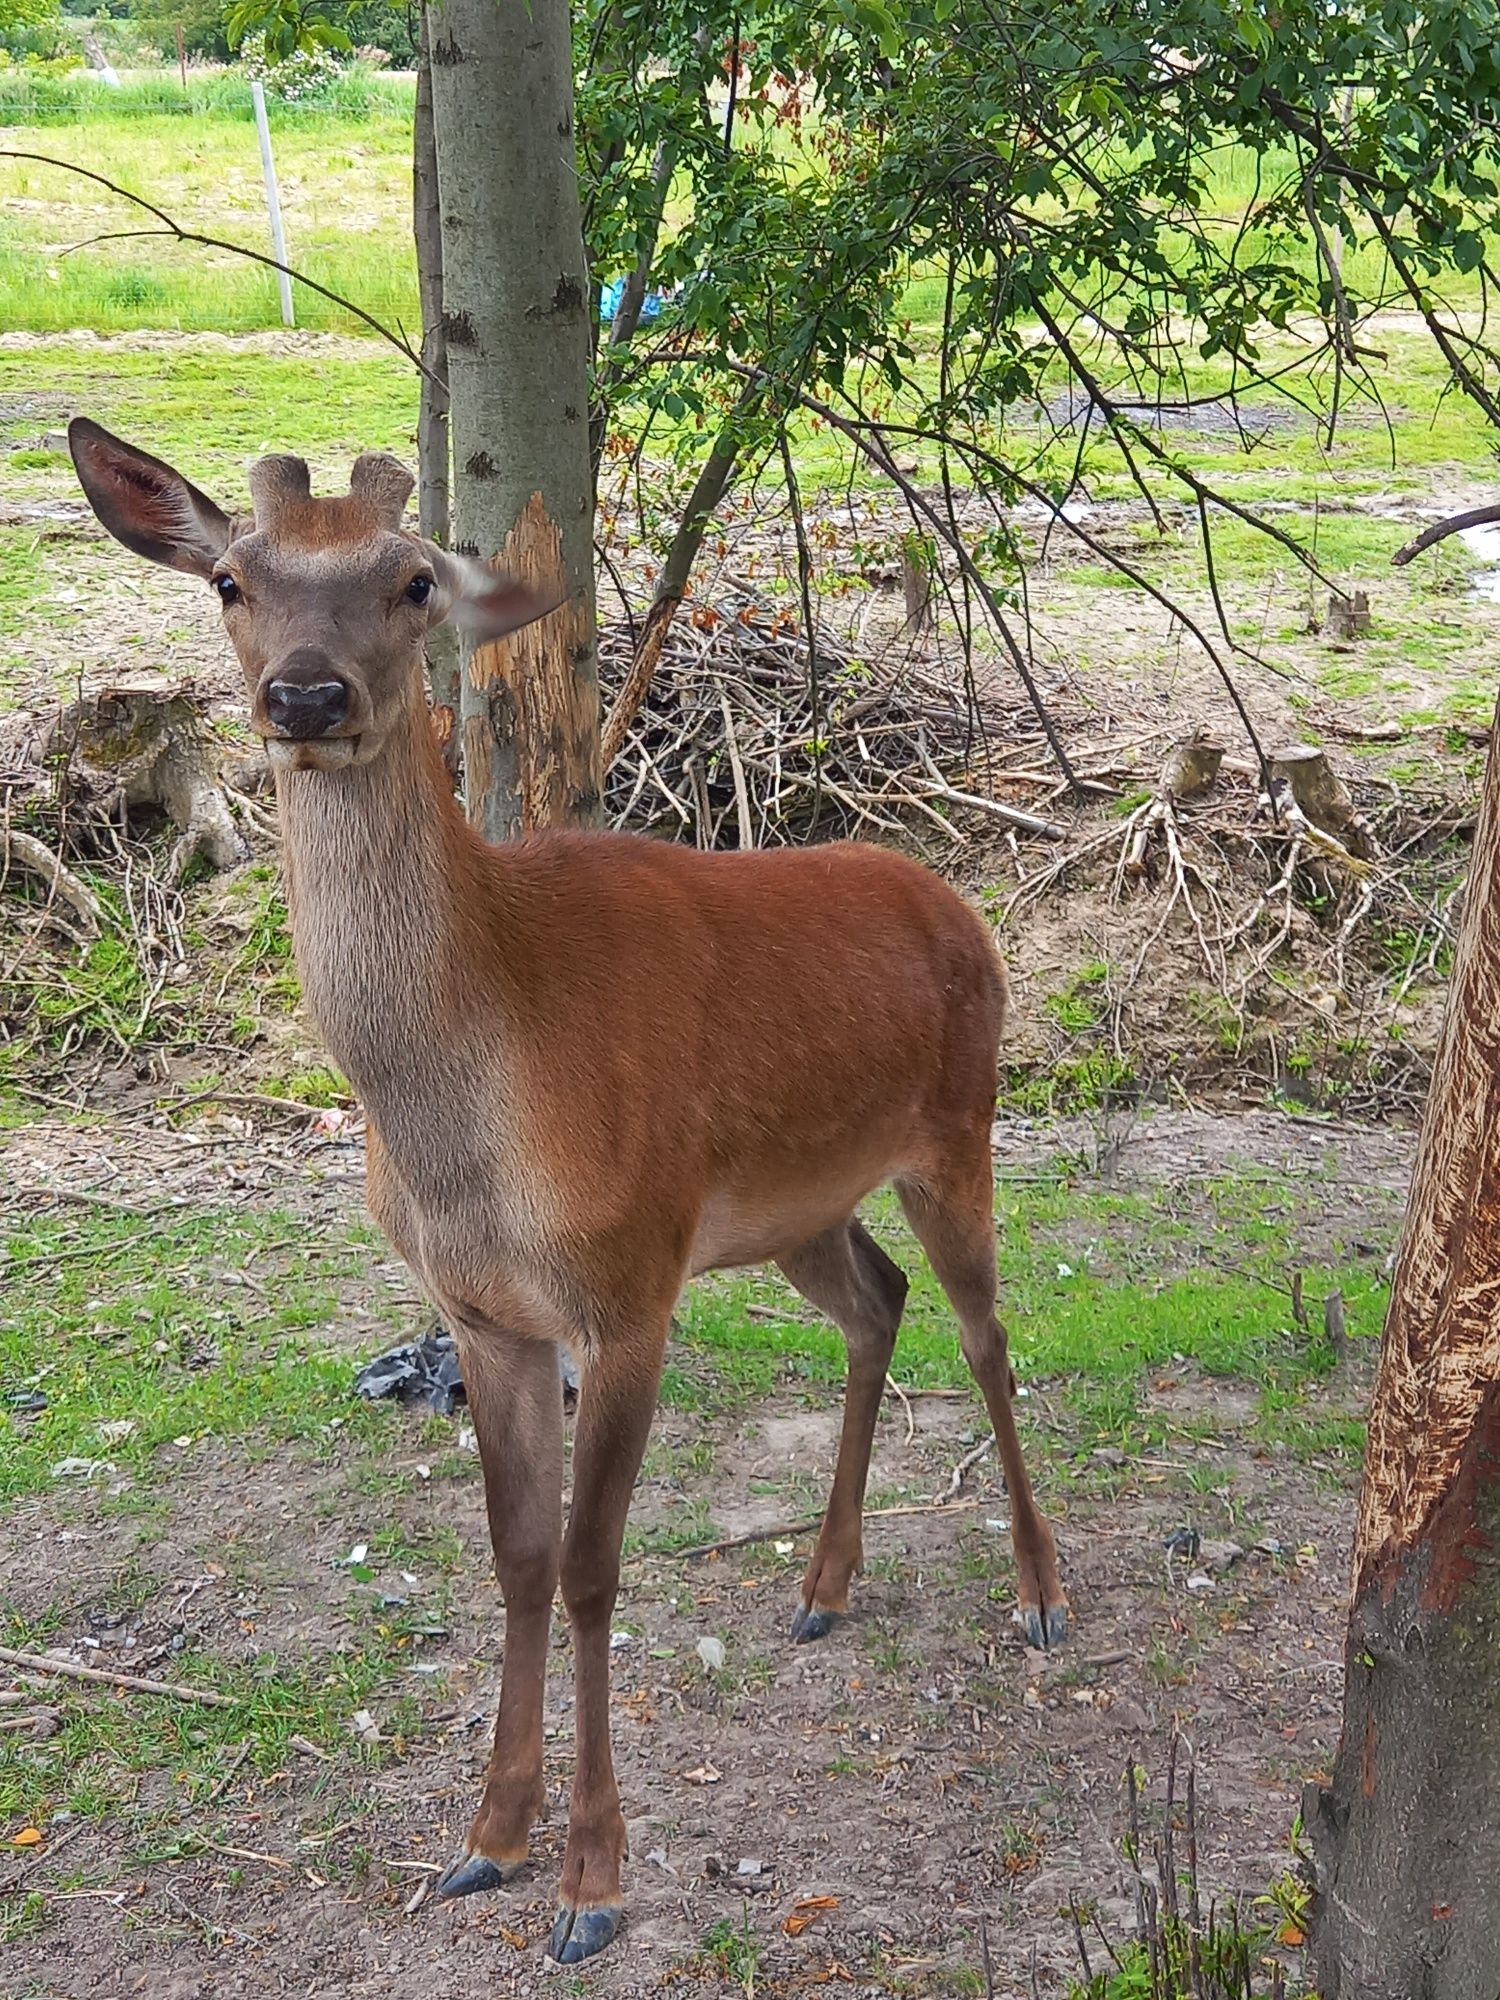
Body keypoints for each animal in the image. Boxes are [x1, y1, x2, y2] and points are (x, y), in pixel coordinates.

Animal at [70, 418, 1072, 1968]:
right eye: (232, 578)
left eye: (415, 580)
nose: (306, 693)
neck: (472, 1125)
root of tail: (964, 903)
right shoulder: (487, 1312)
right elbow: (519, 1555)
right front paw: (488, 1837)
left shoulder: (629, 1279)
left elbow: (597, 1564)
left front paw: (593, 1879)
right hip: (792, 1208)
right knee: (875, 1302)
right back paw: (822, 1586)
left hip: (956, 1130)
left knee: (988, 1335)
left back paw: (1037, 1595)